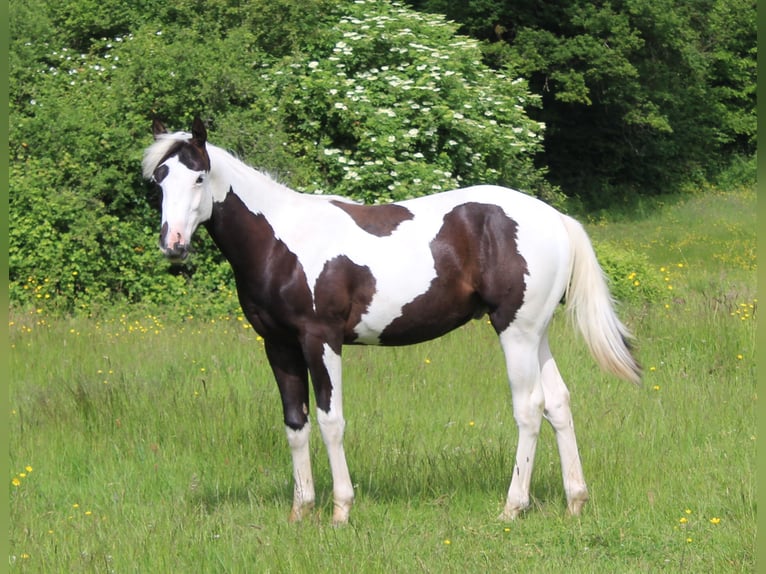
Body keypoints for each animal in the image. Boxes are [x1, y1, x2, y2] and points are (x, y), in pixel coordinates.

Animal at [142, 117, 640, 525]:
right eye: (160, 180)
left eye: (200, 176)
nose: (174, 243)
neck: (282, 242)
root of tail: (555, 218)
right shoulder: (278, 345)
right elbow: (295, 423)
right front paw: (301, 510)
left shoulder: (321, 339)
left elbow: (331, 420)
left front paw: (342, 509)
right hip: (536, 334)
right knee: (558, 402)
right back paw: (575, 500)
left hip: (515, 333)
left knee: (530, 407)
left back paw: (512, 507)